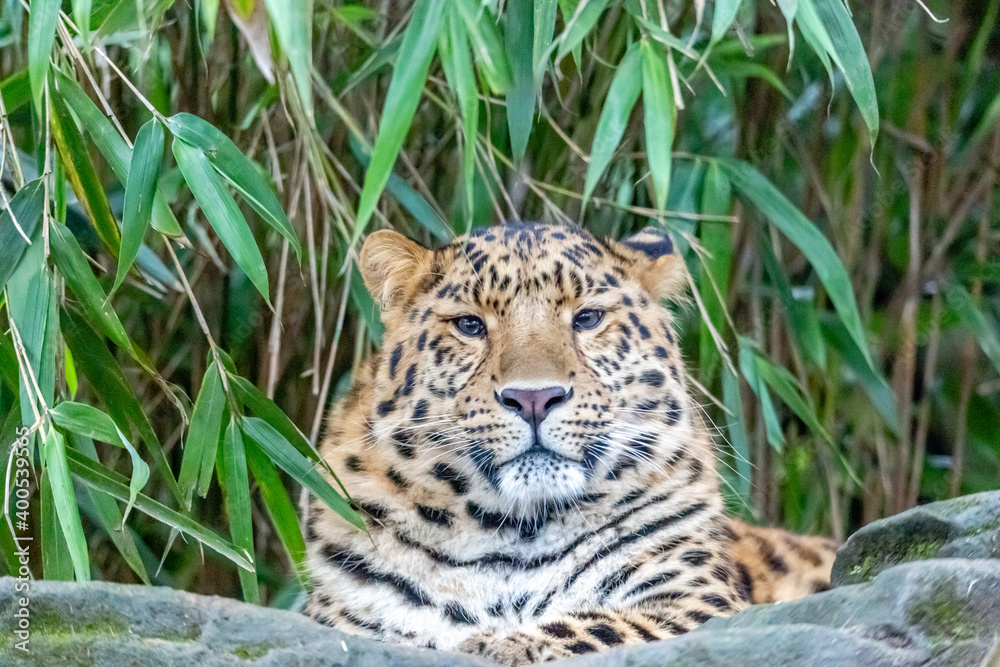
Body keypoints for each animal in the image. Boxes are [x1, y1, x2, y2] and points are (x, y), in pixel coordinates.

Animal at [303, 222, 837, 665]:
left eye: (587, 319)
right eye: (470, 325)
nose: (534, 398)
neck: (511, 533)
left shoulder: (701, 604)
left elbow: (600, 626)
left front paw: (499, 644)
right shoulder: (342, 618)